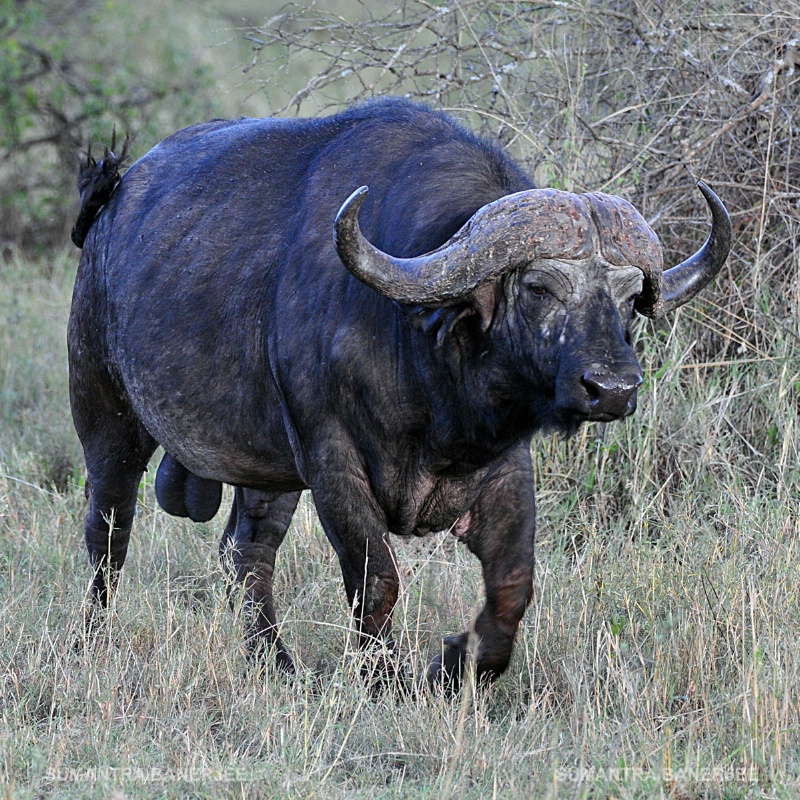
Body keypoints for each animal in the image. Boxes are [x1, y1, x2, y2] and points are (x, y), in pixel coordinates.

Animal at [70, 98, 732, 688]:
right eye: (540, 287)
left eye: (629, 297)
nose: (613, 388)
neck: (429, 383)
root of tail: (112, 204)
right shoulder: (332, 463)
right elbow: (377, 579)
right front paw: (383, 675)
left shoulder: (504, 468)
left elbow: (513, 583)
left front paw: (460, 665)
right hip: (107, 419)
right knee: (108, 535)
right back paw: (88, 643)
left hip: (270, 473)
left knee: (247, 553)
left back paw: (275, 664)